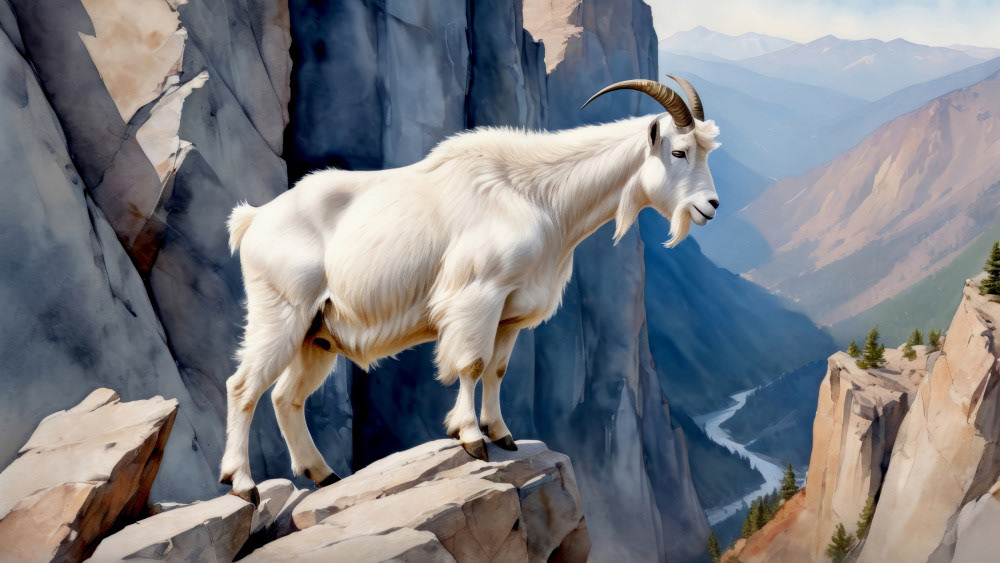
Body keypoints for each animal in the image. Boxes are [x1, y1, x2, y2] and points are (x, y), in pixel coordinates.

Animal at [220, 78, 721, 502]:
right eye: (679, 152)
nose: (711, 206)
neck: (537, 195)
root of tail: (253, 220)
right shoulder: (477, 297)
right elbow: (471, 363)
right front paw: (470, 437)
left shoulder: (510, 313)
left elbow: (497, 369)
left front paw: (502, 434)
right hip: (281, 313)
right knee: (244, 386)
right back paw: (243, 485)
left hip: (317, 335)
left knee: (286, 396)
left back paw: (323, 474)